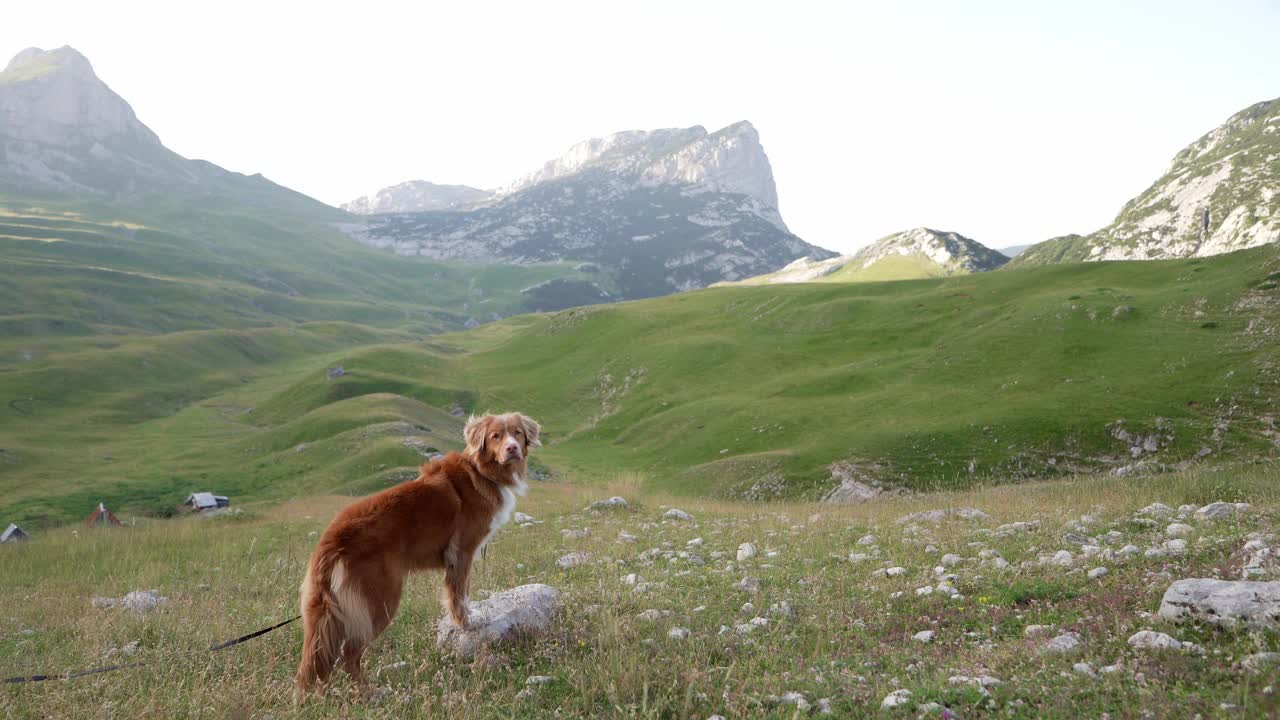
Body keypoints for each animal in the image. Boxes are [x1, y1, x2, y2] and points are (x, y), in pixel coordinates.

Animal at [295, 412, 540, 696]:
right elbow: (459, 594)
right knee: (349, 653)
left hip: (325, 613)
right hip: (380, 600)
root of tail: (331, 540)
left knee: (316, 662)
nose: (512, 449)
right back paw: (370, 693)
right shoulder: (462, 552)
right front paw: (466, 623)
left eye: (517, 433)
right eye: (495, 436)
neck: (480, 472)